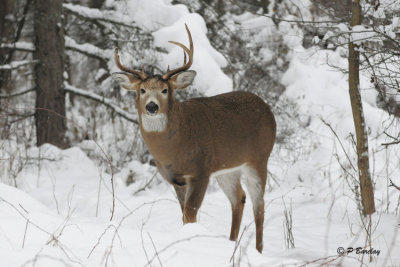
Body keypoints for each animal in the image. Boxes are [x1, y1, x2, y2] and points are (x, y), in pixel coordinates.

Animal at [111, 24, 276, 253]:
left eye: (165, 90)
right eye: (142, 90)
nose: (151, 106)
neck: (176, 146)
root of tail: (267, 107)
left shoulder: (201, 171)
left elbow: (190, 213)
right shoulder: (176, 178)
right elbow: (183, 214)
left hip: (259, 158)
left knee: (258, 205)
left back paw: (258, 250)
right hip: (227, 168)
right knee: (239, 198)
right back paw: (231, 243)